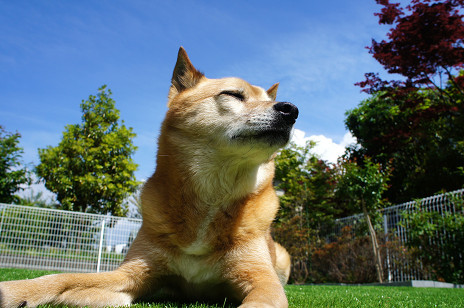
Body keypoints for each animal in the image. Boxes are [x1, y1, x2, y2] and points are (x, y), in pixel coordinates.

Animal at [0, 47, 298, 308]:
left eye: (270, 100)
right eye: (234, 94)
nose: (291, 110)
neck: (211, 197)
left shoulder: (261, 278)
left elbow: (262, 299)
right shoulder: (131, 272)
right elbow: (63, 277)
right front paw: (16, 290)